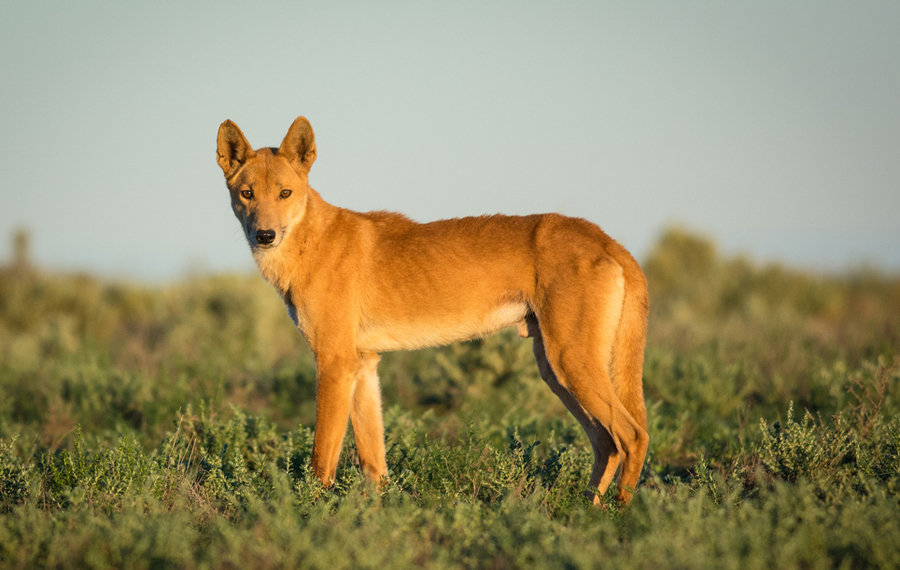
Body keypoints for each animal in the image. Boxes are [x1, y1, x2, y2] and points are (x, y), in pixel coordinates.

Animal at [220, 116, 652, 502]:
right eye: (247, 194)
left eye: (285, 193)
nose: (264, 235)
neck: (309, 242)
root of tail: (605, 239)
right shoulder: (363, 363)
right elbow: (374, 461)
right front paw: (376, 514)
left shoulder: (334, 363)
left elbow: (321, 458)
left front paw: (313, 513)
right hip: (555, 370)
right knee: (606, 442)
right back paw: (586, 509)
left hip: (570, 363)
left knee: (632, 435)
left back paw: (619, 514)